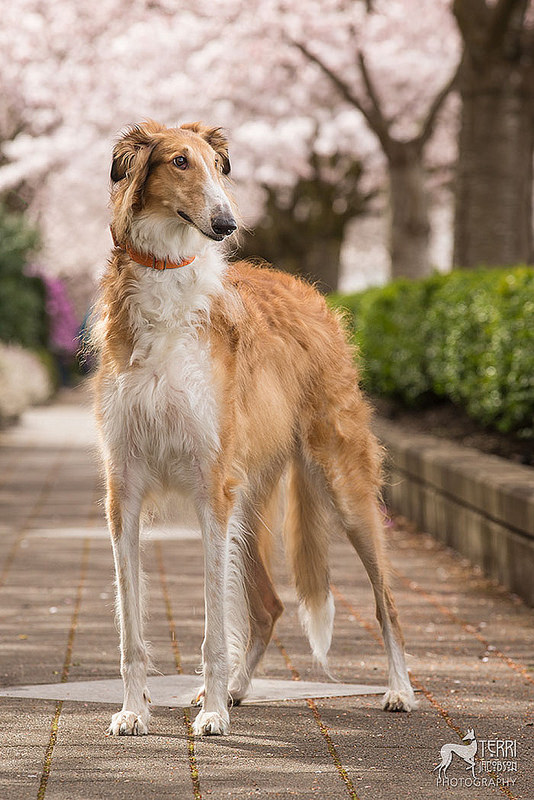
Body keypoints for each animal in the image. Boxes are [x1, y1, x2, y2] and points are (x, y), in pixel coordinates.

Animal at [93, 120, 418, 736]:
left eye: (218, 165)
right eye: (178, 161)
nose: (226, 224)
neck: (168, 283)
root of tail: (309, 292)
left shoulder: (210, 488)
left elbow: (214, 629)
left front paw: (213, 716)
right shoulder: (124, 489)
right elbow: (129, 629)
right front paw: (133, 712)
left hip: (341, 485)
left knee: (386, 599)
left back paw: (399, 691)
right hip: (247, 503)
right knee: (269, 607)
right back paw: (239, 689)